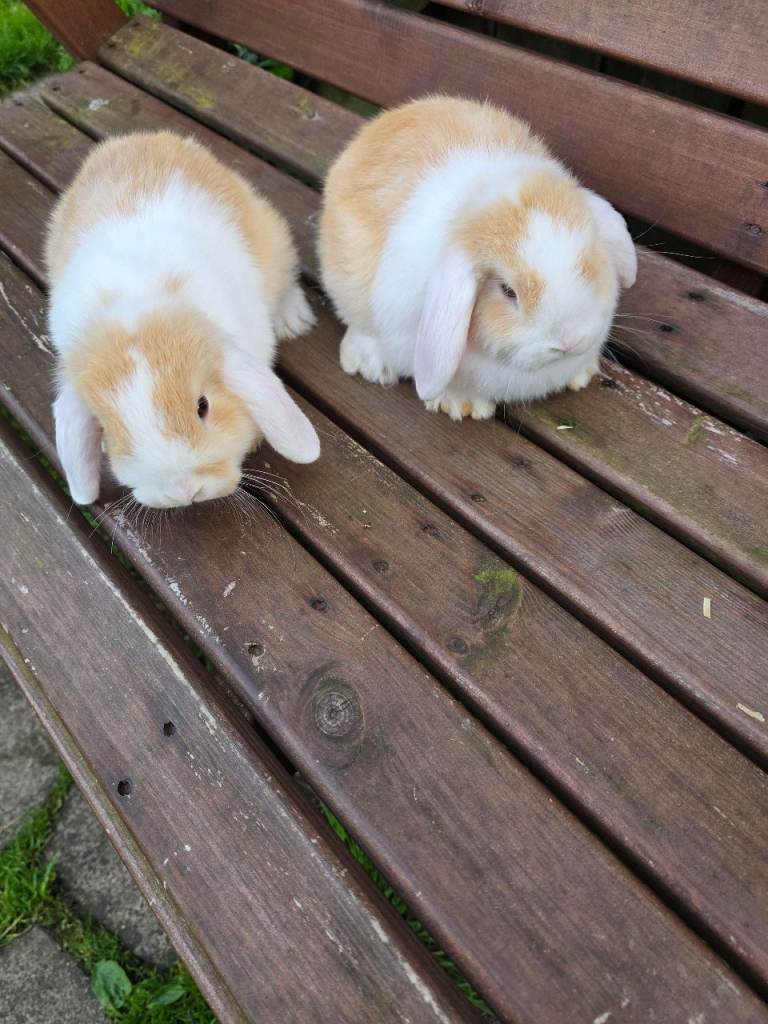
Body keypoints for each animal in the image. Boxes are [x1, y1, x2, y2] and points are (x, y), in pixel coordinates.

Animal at [47, 130, 319, 508]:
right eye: (110, 427)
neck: (138, 300)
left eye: (203, 406)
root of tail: (147, 137)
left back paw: (293, 319)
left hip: (273, 241)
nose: (184, 492)